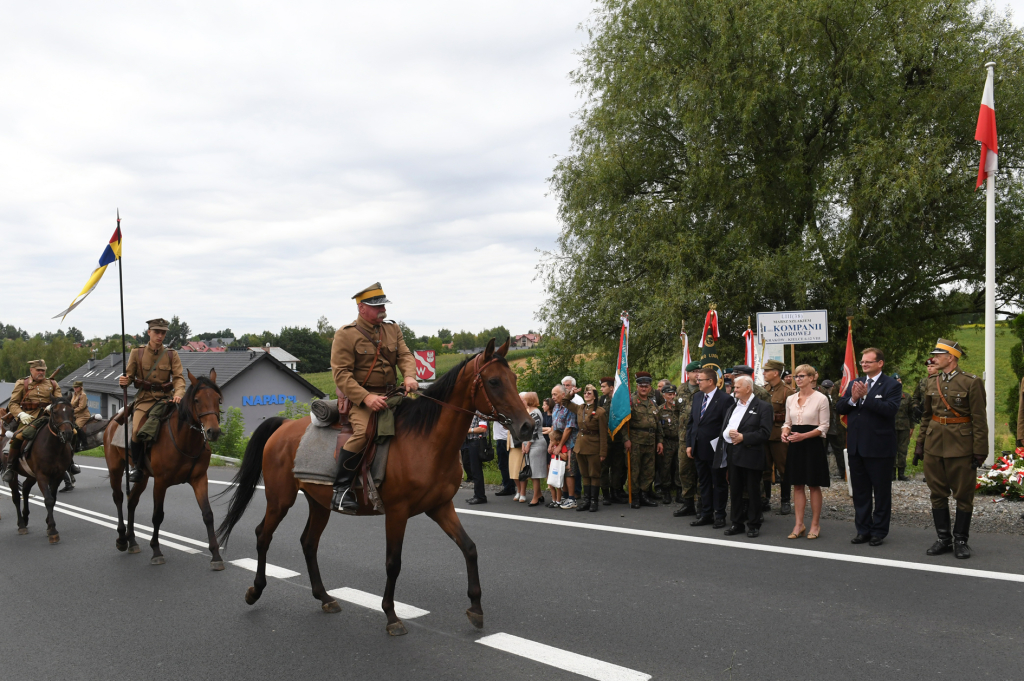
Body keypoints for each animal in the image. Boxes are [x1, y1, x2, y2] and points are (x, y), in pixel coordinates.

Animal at [6, 393, 76, 540]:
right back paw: (21, 525)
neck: (53, 447)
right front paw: (53, 531)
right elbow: (48, 500)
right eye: (55, 412)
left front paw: (49, 524)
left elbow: (53, 499)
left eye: (72, 411)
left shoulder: (58, 475)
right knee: (16, 496)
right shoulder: (42, 476)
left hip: (31, 475)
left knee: (25, 490)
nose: (67, 434)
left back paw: (25, 517)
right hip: (15, 474)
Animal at [102, 368, 225, 565]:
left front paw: (215, 555)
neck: (185, 440)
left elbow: (207, 514)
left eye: (218, 399)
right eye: (197, 400)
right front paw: (156, 550)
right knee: (119, 498)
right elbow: (157, 516)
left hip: (143, 476)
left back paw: (132, 541)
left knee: (132, 501)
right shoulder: (160, 483)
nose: (213, 432)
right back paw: (121, 538)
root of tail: (113, 420)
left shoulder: (199, 479)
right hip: (115, 468)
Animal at [218, 337, 536, 634]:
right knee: (263, 535)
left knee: (308, 542)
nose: (527, 427)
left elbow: (469, 548)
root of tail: (284, 425)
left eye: (514, 379)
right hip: (280, 498)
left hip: (318, 503)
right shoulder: (397, 512)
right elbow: (393, 563)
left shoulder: (440, 507)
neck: (427, 441)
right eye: (494, 381)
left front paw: (476, 608)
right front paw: (391, 615)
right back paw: (255, 590)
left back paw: (324, 597)